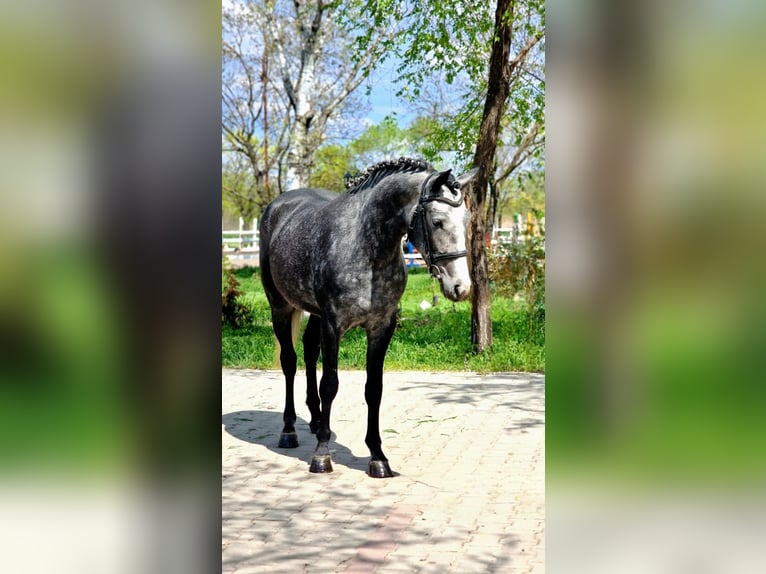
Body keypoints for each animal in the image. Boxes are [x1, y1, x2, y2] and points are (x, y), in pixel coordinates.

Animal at [259, 157, 478, 477]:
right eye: (438, 221)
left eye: (467, 221)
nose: (461, 287)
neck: (366, 248)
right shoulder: (334, 325)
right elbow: (330, 384)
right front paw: (322, 455)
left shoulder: (381, 327)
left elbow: (374, 389)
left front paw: (378, 457)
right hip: (280, 307)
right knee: (289, 361)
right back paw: (289, 430)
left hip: (313, 313)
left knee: (310, 351)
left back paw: (315, 420)